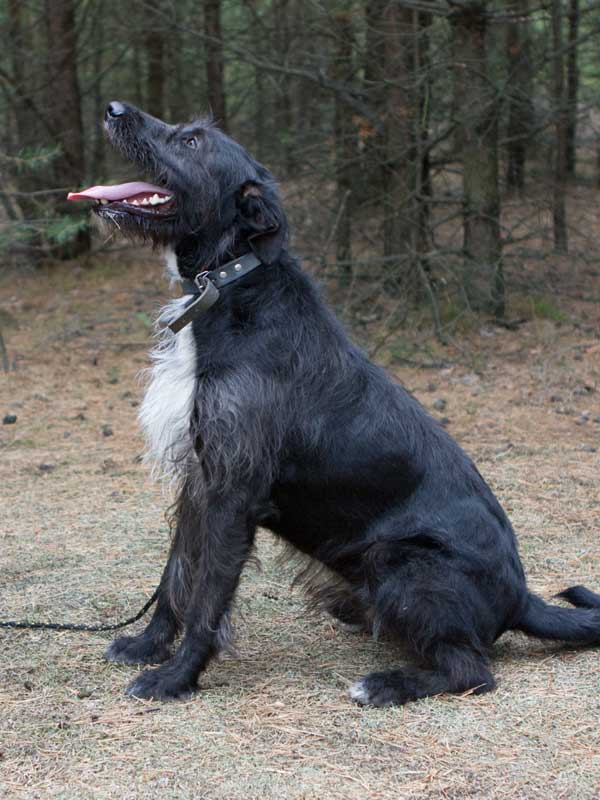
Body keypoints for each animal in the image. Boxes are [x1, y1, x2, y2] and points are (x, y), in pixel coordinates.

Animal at [68, 101, 600, 705]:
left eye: (193, 141)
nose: (112, 108)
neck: (228, 286)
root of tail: (520, 598)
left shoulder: (233, 491)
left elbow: (206, 598)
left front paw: (176, 677)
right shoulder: (199, 479)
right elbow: (175, 576)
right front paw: (146, 646)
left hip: (400, 561)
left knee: (473, 671)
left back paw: (386, 683)